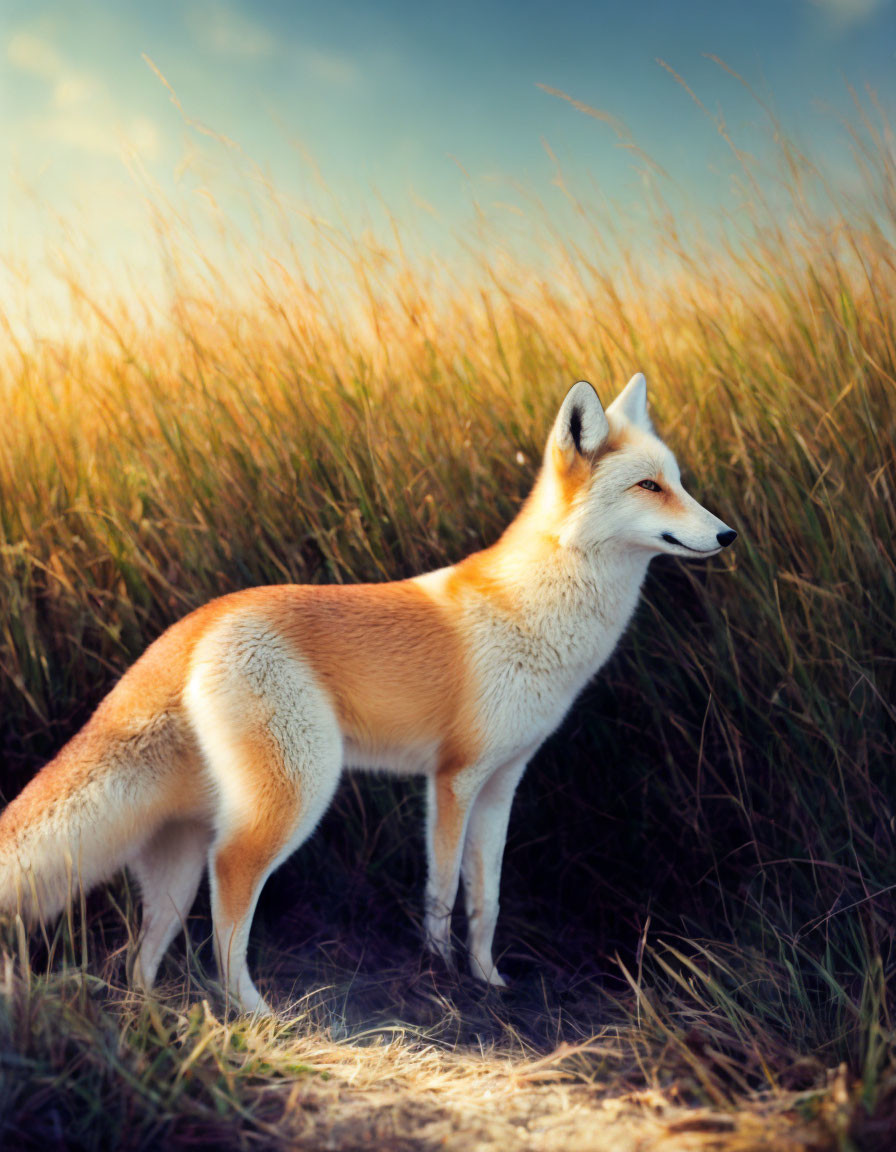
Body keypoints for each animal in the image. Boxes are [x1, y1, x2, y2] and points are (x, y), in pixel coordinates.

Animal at [0, 373, 732, 1013]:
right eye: (649, 486)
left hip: (179, 855)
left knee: (140, 956)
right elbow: (442, 892)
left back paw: (159, 1016)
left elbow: (487, 901)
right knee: (229, 887)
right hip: (296, 794)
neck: (535, 616)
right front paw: (439, 975)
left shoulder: (503, 783)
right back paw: (253, 1012)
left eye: (679, 482)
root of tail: (201, 619)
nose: (727, 535)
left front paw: (488, 980)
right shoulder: (454, 778)